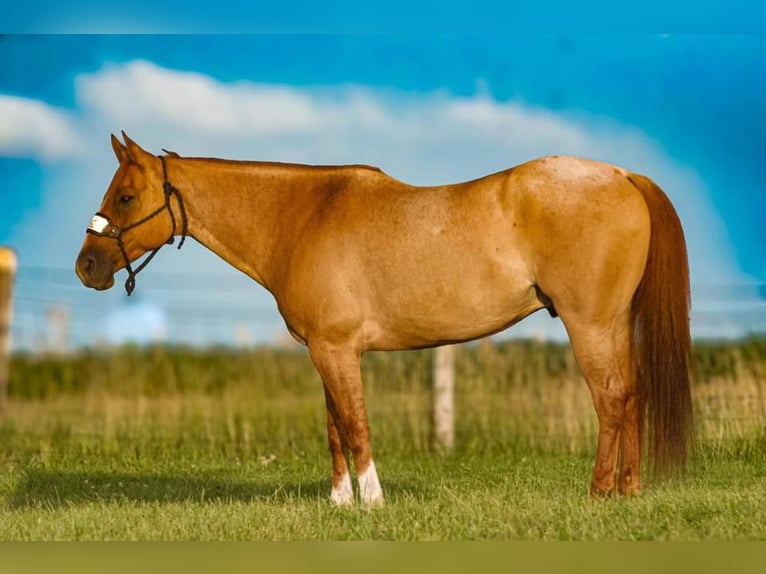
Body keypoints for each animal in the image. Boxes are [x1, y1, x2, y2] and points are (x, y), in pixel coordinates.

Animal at [75, 132, 692, 508]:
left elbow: (355, 423)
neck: (303, 217)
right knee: (631, 394)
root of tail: (622, 175)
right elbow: (333, 427)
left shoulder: (338, 350)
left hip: (589, 324)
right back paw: (630, 491)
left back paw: (599, 492)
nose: (87, 267)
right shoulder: (324, 351)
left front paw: (372, 501)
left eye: (126, 196)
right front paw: (339, 502)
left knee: (610, 398)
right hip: (614, 324)